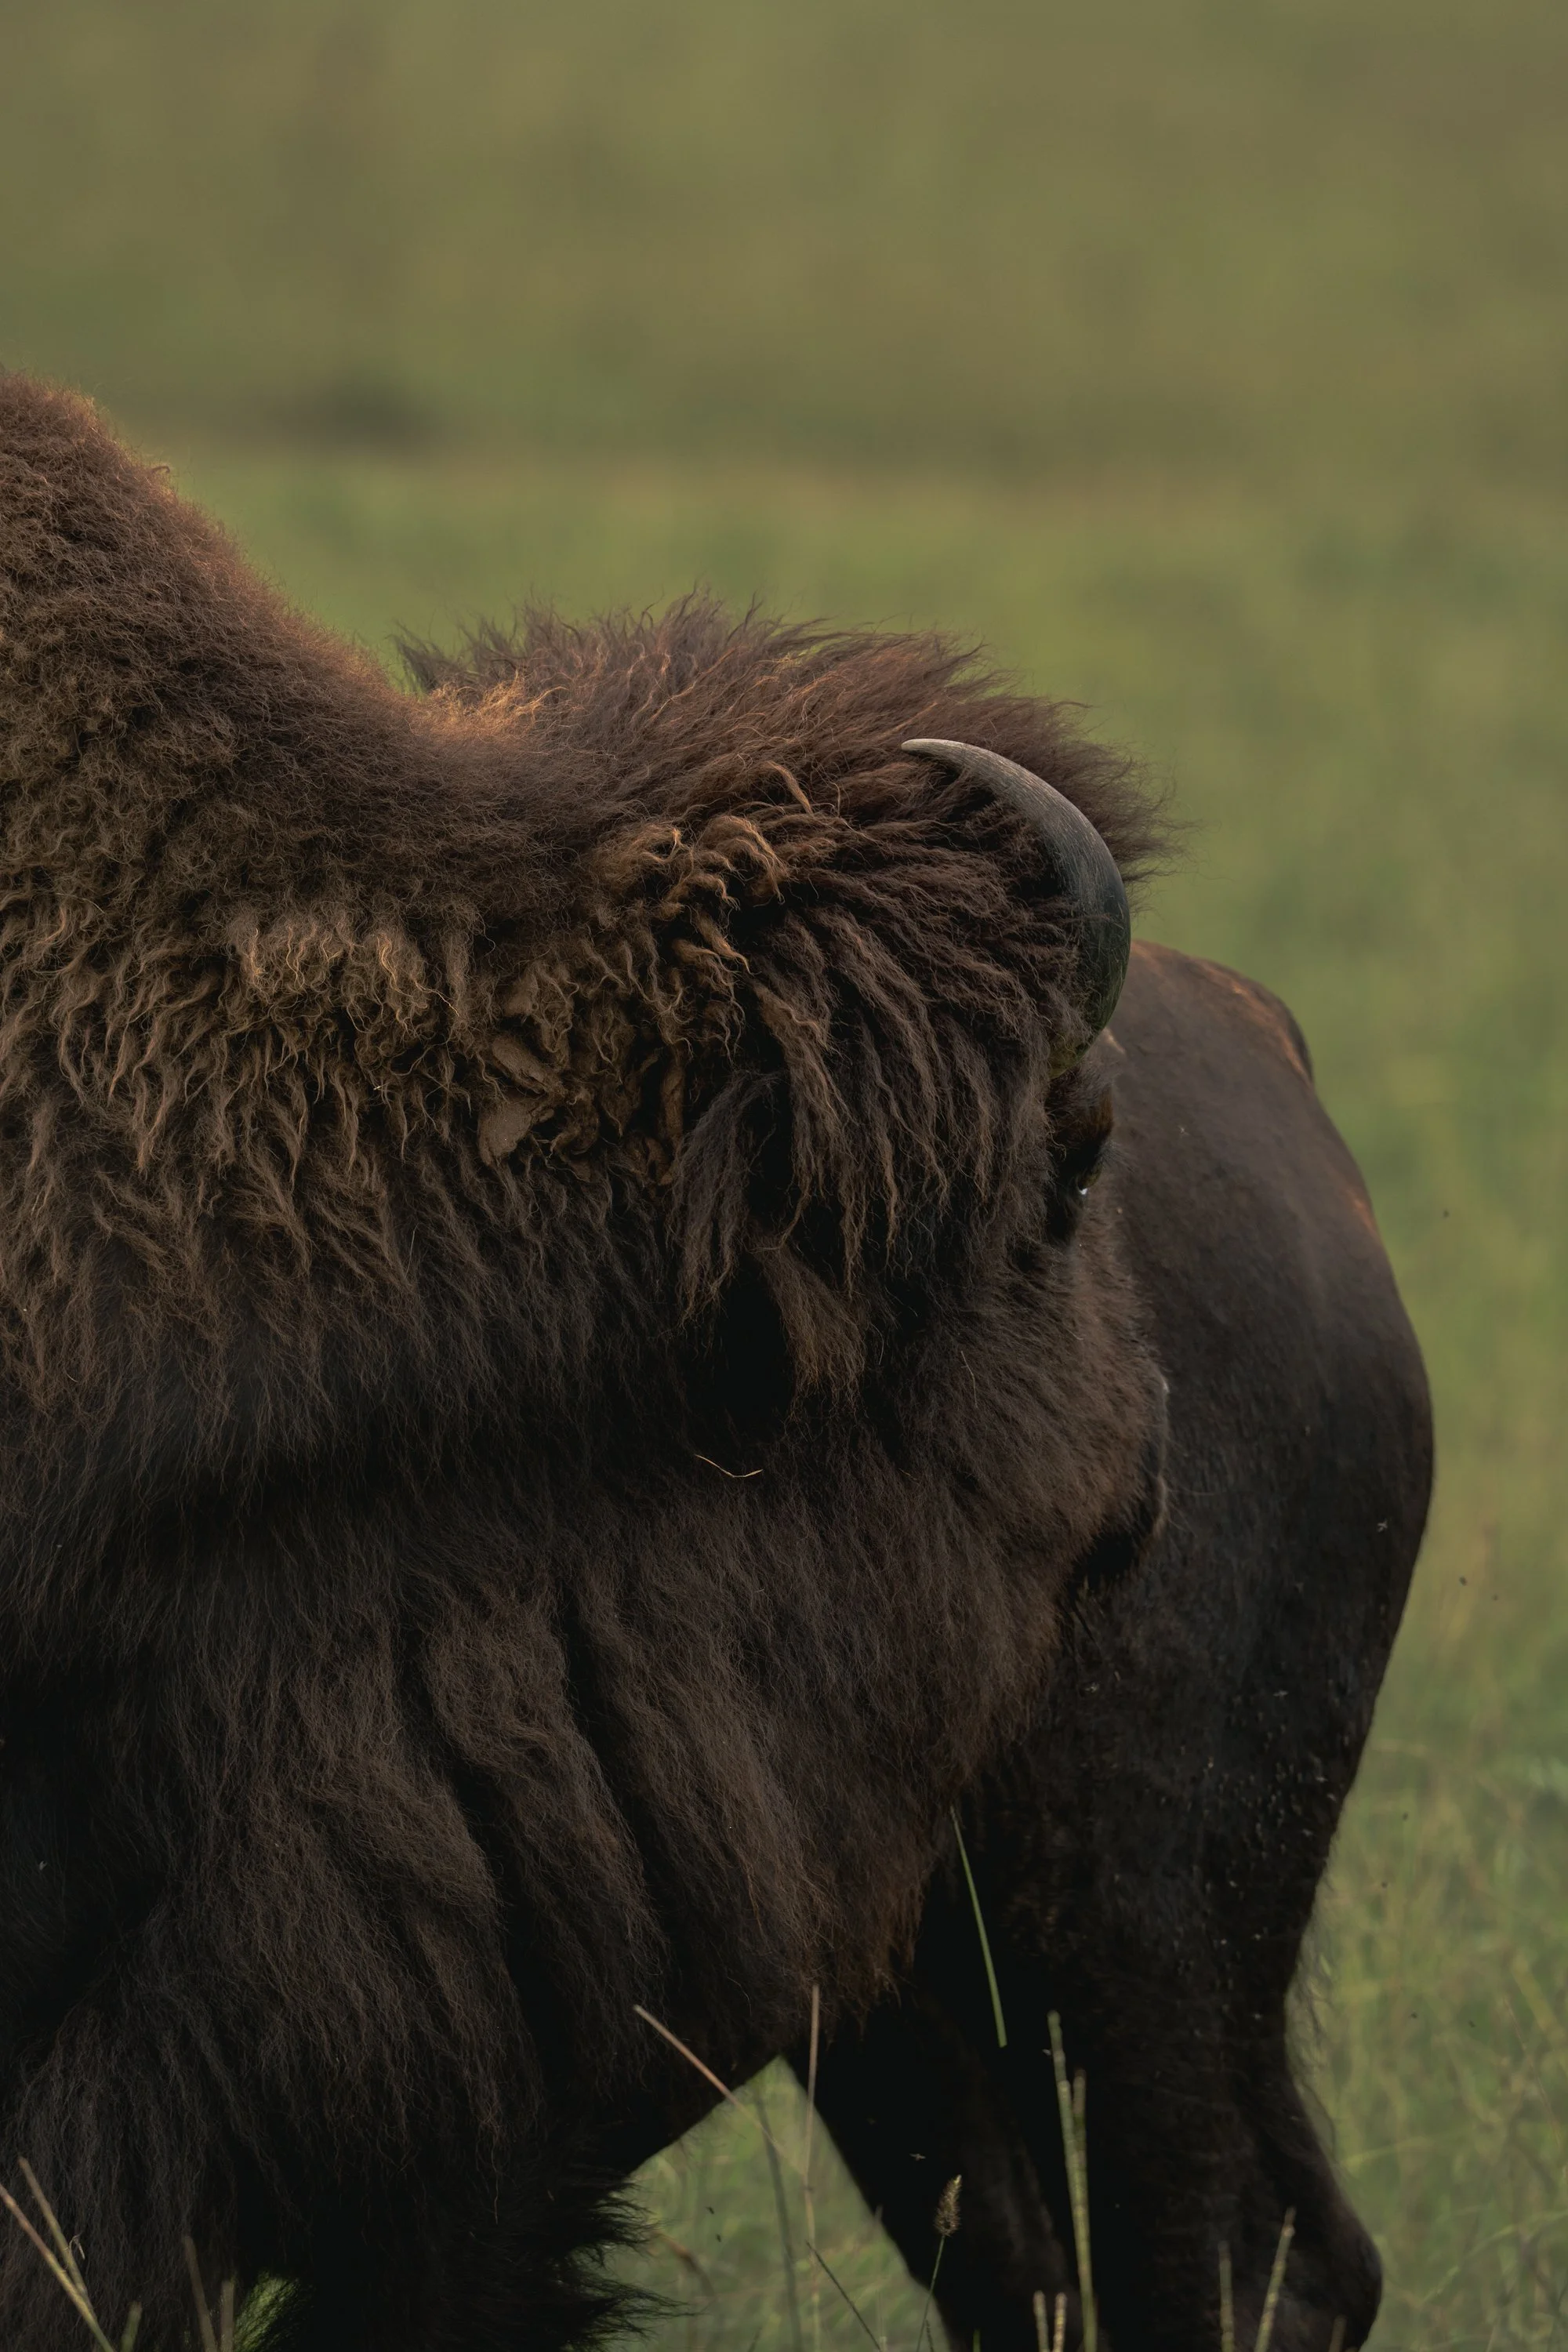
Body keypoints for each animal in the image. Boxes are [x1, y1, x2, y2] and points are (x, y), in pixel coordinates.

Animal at [0, 377, 1430, 2352]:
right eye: (1061, 1167)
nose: (1133, 1478)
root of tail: (1255, 1033)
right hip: (929, 2001)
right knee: (1040, 2250)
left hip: (1132, 1924)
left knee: (1232, 2248)